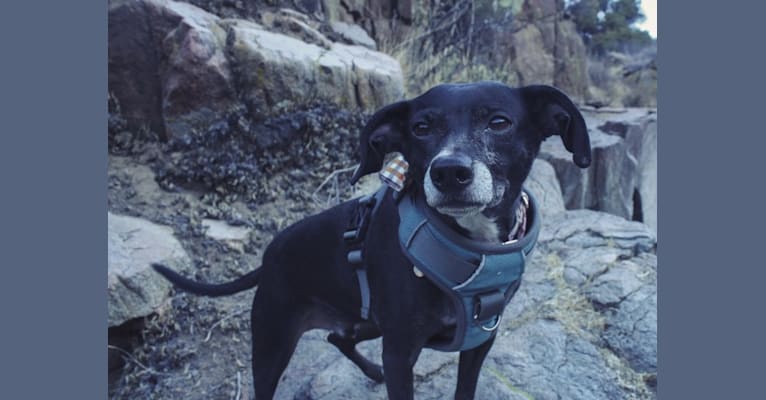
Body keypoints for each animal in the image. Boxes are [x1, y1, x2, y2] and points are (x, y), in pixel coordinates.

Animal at [153, 82, 592, 400]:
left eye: (499, 122)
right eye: (421, 128)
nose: (449, 172)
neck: (467, 240)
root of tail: (268, 256)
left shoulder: (480, 339)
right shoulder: (400, 353)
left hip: (366, 321)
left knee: (337, 336)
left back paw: (370, 371)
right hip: (273, 342)